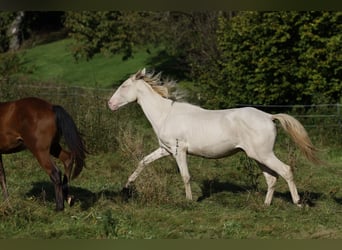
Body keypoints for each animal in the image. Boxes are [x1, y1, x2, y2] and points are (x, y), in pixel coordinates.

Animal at [109, 69, 320, 207]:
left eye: (124, 86)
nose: (110, 104)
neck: (165, 114)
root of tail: (269, 117)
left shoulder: (179, 151)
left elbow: (185, 176)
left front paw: (189, 201)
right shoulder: (165, 149)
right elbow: (143, 162)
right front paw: (126, 187)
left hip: (264, 154)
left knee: (286, 171)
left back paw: (298, 202)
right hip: (258, 156)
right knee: (272, 178)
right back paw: (266, 205)